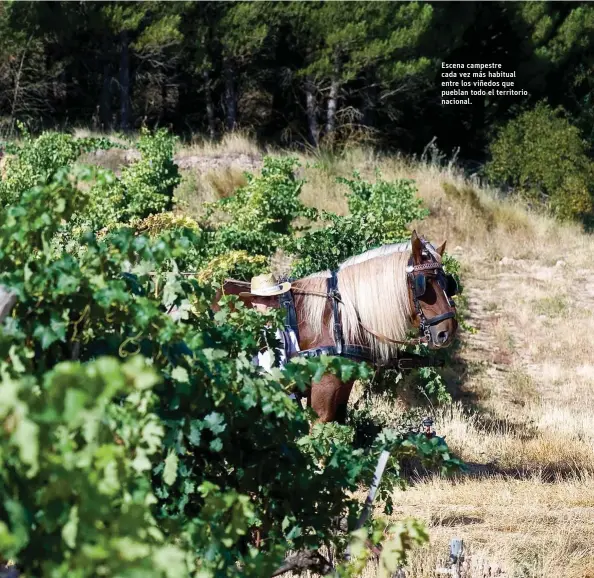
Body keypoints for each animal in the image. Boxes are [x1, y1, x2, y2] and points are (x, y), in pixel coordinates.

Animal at [216, 230, 458, 424]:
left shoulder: (343, 386)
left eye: (448, 283)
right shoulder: (324, 390)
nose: (447, 332)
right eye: (425, 283)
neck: (338, 318)